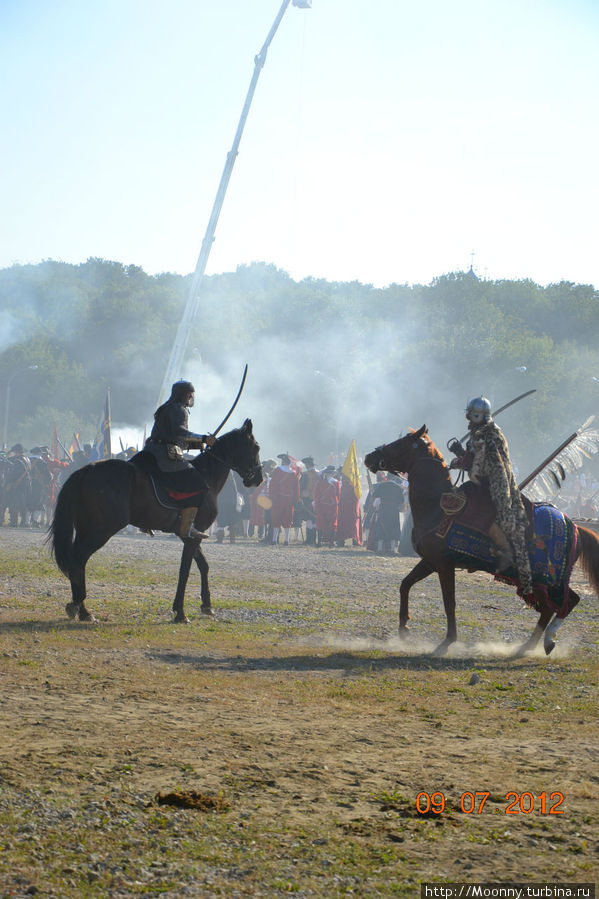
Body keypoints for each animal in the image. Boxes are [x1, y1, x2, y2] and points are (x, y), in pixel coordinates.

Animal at [47, 420, 262, 624]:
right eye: (256, 447)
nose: (258, 479)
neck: (207, 476)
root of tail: (86, 470)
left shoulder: (189, 534)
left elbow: (203, 565)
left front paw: (206, 605)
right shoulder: (193, 534)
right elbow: (185, 570)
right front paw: (180, 612)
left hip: (86, 528)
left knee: (77, 561)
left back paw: (82, 610)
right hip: (102, 530)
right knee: (78, 559)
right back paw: (80, 608)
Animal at [364, 426, 599, 656]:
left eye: (401, 443)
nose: (369, 457)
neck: (437, 507)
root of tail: (575, 527)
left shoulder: (444, 565)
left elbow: (449, 602)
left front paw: (448, 641)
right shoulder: (430, 562)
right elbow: (405, 584)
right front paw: (404, 628)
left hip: (549, 580)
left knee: (566, 602)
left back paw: (544, 641)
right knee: (554, 606)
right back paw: (529, 646)